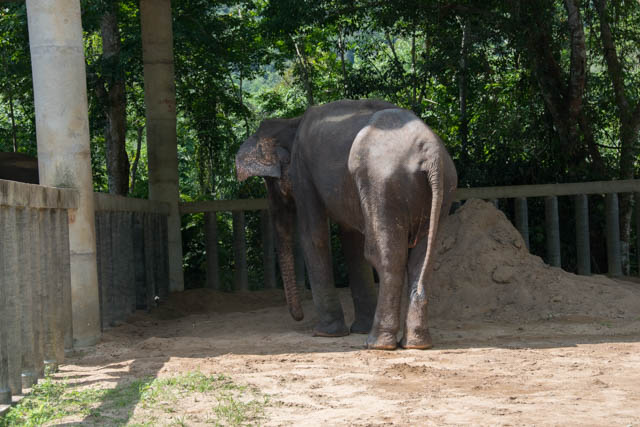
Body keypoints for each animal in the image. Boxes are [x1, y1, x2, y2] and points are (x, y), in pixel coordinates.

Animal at [235, 100, 456, 352]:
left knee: (385, 256)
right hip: (443, 188)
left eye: (270, 182)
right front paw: (355, 328)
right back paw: (416, 344)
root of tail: (430, 154)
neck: (291, 121)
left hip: (383, 185)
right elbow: (351, 239)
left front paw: (325, 333)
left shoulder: (303, 170)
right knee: (422, 258)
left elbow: (314, 234)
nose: (299, 317)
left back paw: (376, 343)